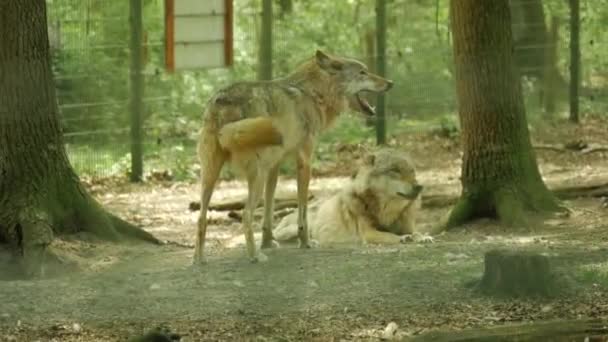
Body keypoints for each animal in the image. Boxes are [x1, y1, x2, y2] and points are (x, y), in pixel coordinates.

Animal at [195, 50, 394, 264]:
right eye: (363, 72)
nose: (390, 83)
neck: (314, 94)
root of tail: (222, 99)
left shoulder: (274, 168)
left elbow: (269, 210)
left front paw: (268, 242)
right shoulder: (305, 162)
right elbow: (303, 211)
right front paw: (305, 242)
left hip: (212, 176)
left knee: (201, 217)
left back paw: (198, 260)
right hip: (255, 177)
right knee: (246, 215)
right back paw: (255, 256)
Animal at [274, 147, 430, 246]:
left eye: (412, 171)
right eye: (395, 170)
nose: (419, 186)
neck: (387, 211)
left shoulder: (409, 227)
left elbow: (416, 233)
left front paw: (424, 237)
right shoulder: (368, 233)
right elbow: (391, 235)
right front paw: (404, 238)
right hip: (298, 227)